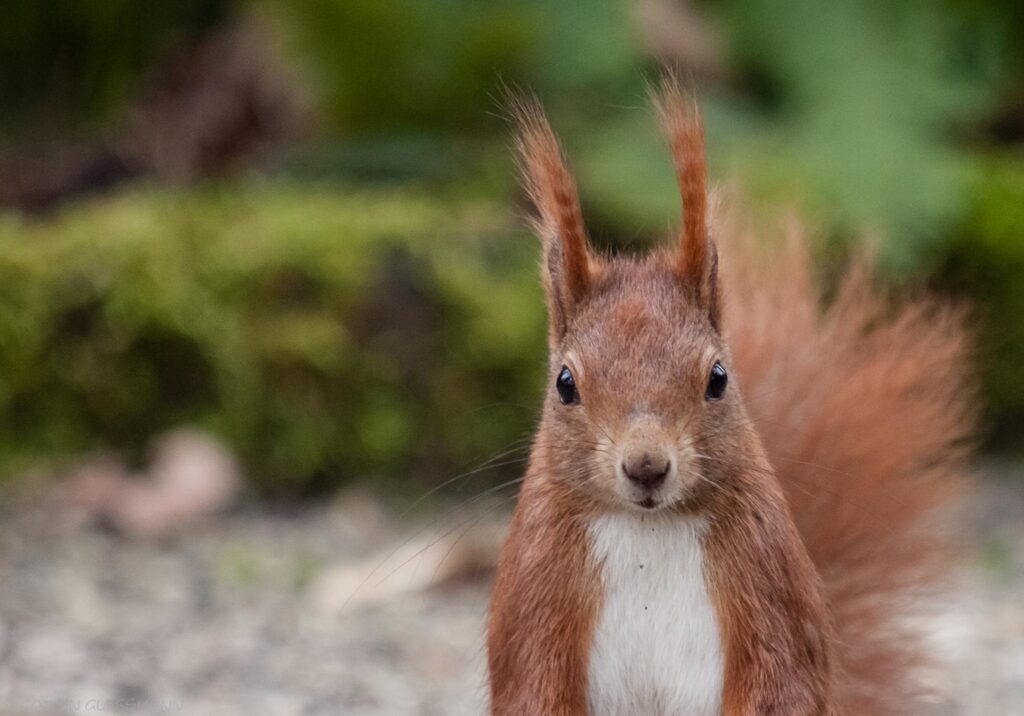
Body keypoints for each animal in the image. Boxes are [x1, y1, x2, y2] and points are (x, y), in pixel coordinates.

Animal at [483, 75, 970, 712]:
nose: (646, 465)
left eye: (718, 377)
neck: (650, 528)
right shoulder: (537, 588)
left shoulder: (768, 575)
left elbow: (779, 679)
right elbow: (535, 684)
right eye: (565, 384)